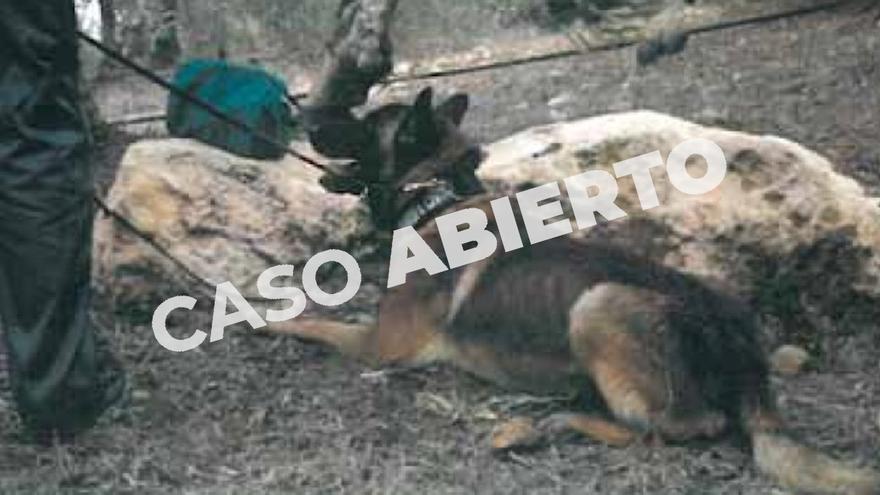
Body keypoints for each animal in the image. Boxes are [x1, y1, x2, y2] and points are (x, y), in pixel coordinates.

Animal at [276, 89, 880, 495]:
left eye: (363, 124)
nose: (301, 115)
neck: (437, 198)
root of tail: (743, 355)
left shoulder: (381, 345)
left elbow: (315, 319)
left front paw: (267, 314)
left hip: (597, 304)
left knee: (677, 428)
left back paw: (548, 424)